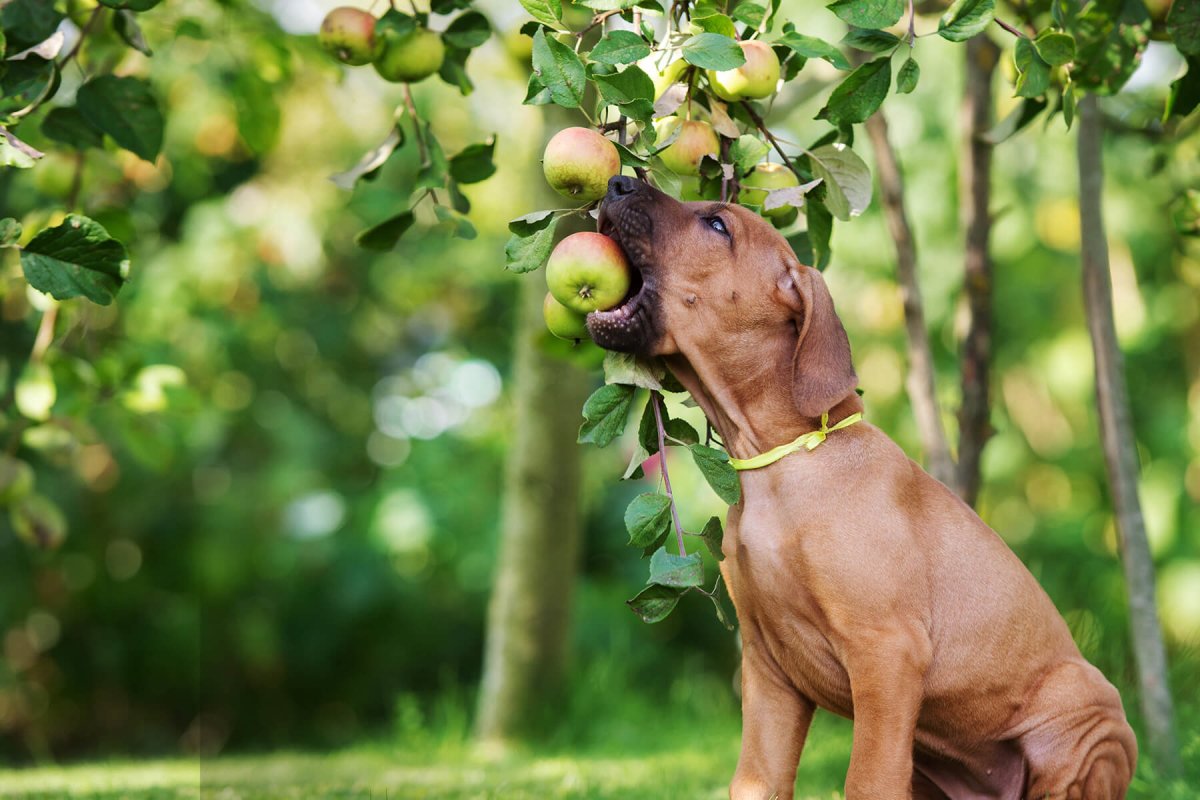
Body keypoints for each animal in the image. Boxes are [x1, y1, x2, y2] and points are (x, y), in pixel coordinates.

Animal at [595, 176, 1137, 800]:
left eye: (717, 225)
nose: (617, 182)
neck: (781, 466)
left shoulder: (887, 654)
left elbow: (867, 780)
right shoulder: (767, 670)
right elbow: (756, 781)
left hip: (1086, 716)